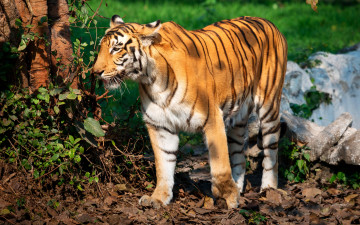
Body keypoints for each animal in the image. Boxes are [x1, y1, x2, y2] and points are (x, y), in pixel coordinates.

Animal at [92, 14, 286, 209]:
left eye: (116, 48)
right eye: (101, 48)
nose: (95, 72)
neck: (152, 79)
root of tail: (268, 21)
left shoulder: (212, 119)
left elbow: (220, 164)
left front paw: (227, 197)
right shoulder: (160, 126)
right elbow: (163, 165)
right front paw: (158, 198)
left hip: (269, 107)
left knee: (271, 153)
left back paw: (268, 189)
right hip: (237, 119)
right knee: (239, 156)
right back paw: (238, 189)